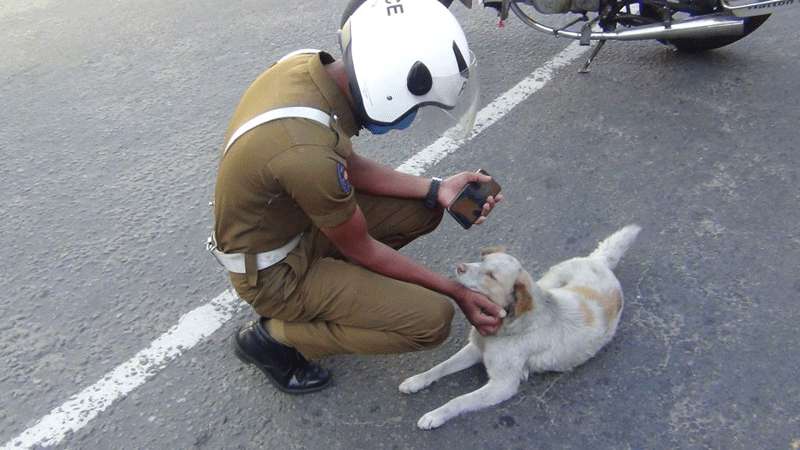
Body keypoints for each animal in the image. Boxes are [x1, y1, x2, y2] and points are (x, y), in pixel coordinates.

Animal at [400, 225, 644, 428]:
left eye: (491, 275)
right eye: (482, 259)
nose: (460, 267)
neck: (510, 325)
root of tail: (599, 263)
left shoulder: (502, 385)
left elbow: (458, 400)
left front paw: (435, 415)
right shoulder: (475, 349)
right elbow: (439, 368)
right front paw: (416, 381)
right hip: (549, 280)